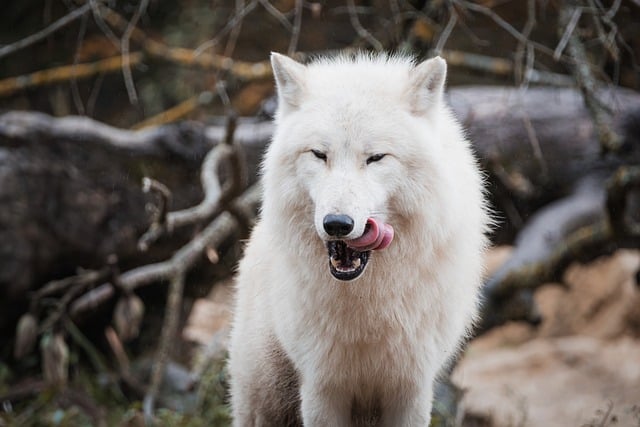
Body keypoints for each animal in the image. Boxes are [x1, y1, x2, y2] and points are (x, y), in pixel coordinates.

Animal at [228, 51, 488, 426]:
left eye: (376, 157)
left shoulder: (410, 389)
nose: (337, 223)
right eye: (319, 154)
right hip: (265, 399)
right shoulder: (322, 388)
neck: (367, 304)